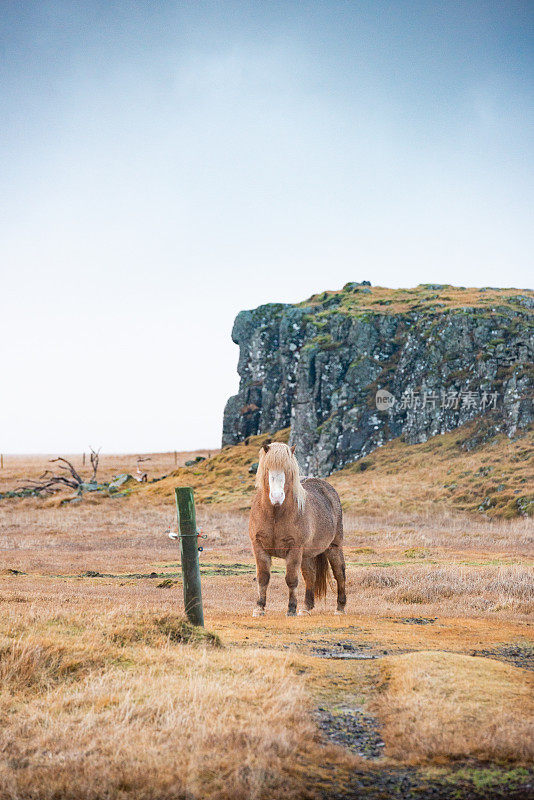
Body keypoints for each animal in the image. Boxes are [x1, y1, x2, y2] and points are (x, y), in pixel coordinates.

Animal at [250, 440, 350, 616]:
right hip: (307, 555)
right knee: (310, 576)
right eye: (268, 468)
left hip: (334, 546)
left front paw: (291, 609)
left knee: (339, 573)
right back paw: (306, 608)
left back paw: (340, 608)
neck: (275, 514)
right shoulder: (259, 547)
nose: (277, 497)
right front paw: (259, 608)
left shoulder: (294, 550)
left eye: (288, 470)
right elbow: (263, 578)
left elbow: (291, 579)